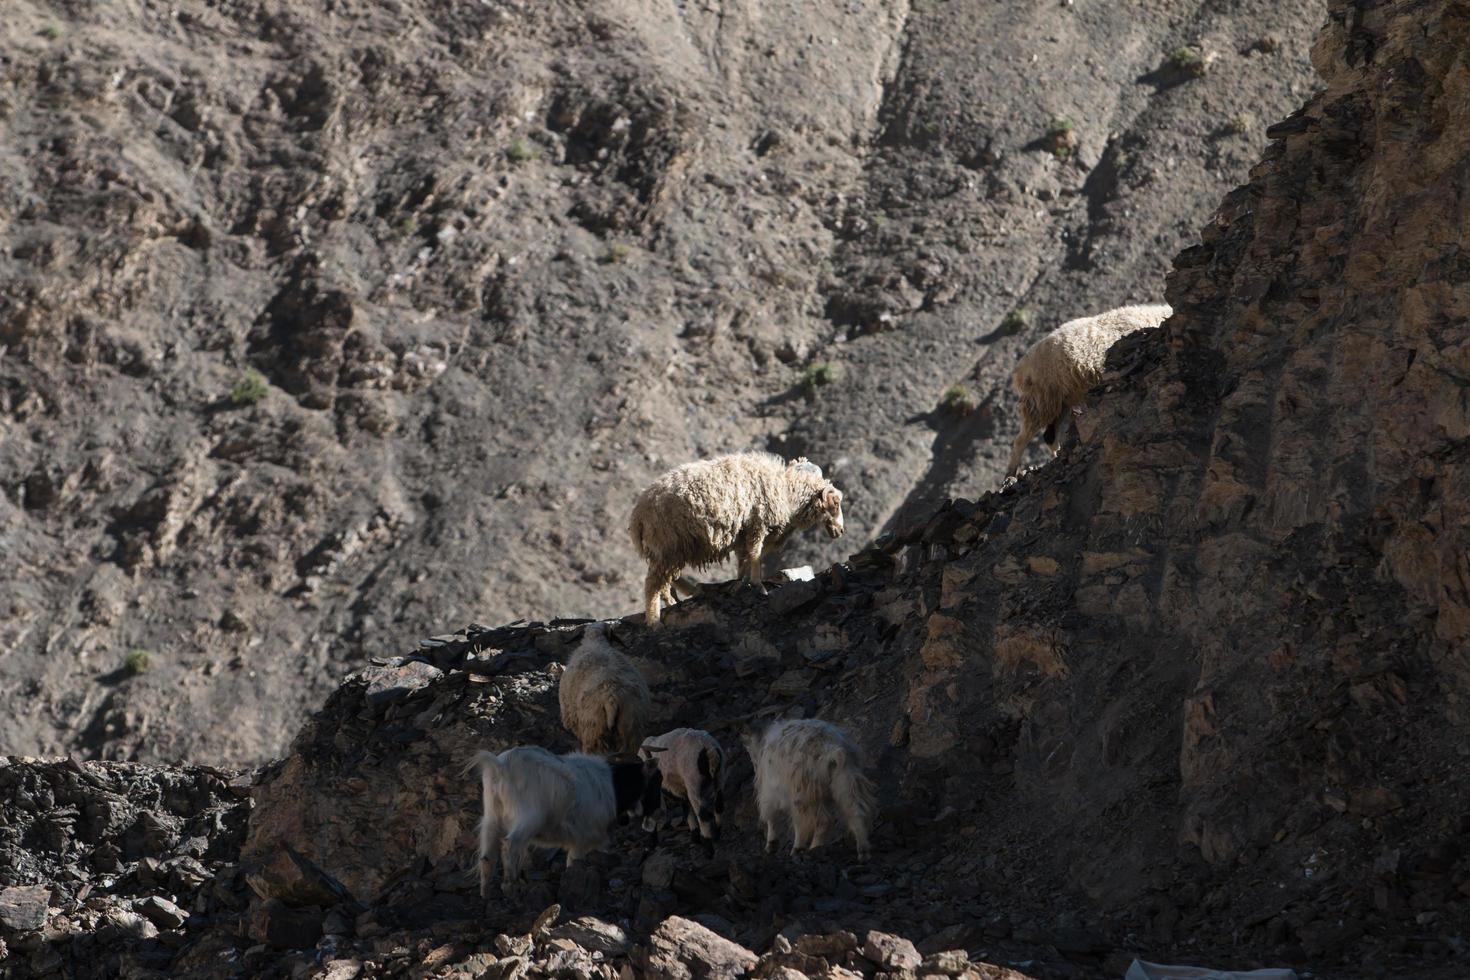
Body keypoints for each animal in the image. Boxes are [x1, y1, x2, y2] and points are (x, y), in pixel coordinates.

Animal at [467, 746, 664, 899]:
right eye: (657, 780)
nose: (659, 812)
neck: (612, 787)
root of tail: (500, 766)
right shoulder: (581, 840)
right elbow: (573, 864)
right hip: (529, 817)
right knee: (511, 844)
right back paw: (510, 888)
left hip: (492, 816)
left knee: (487, 856)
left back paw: (486, 893)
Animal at [626, 452, 846, 628]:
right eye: (835, 504)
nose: (841, 531)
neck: (786, 490)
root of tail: (638, 515)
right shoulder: (758, 523)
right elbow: (756, 554)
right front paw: (758, 585)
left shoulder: (742, 534)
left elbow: (744, 559)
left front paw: (740, 582)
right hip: (668, 545)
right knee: (652, 584)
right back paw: (654, 621)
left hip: (668, 550)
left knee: (666, 580)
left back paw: (673, 602)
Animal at [746, 717, 870, 863]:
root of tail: (832, 749)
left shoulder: (769, 791)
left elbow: (771, 816)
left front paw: (771, 845)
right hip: (845, 779)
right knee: (855, 811)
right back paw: (863, 851)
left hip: (804, 790)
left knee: (816, 821)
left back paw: (803, 848)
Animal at [999, 302, 1170, 478]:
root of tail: (1020, 368)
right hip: (1041, 401)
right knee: (1021, 440)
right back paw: (1011, 474)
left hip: (1060, 402)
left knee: (1049, 437)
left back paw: (1056, 457)